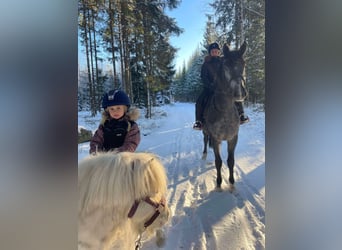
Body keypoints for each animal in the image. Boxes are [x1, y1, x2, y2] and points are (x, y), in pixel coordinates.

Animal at [202, 41, 247, 189]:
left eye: (244, 64)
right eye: (226, 65)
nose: (239, 93)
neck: (224, 110)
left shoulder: (233, 138)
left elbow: (230, 160)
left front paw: (232, 183)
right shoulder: (215, 138)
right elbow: (218, 161)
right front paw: (219, 183)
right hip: (204, 131)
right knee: (205, 140)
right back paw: (204, 154)